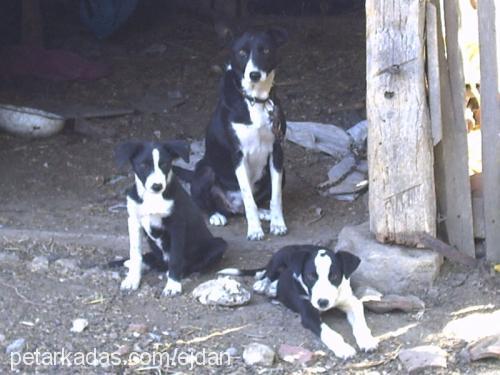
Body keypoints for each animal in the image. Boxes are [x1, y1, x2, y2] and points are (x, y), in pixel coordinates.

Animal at [115, 141, 227, 296]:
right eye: (143, 165)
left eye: (164, 164)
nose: (157, 186)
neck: (153, 198)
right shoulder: (133, 221)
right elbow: (135, 252)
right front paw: (132, 279)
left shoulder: (177, 226)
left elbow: (175, 257)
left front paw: (173, 285)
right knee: (152, 260)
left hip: (219, 245)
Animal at [188, 25, 290, 241]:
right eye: (242, 53)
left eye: (265, 50)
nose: (254, 75)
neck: (255, 99)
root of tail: (232, 207)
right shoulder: (238, 155)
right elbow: (247, 197)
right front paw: (255, 230)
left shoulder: (277, 151)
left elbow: (276, 197)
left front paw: (278, 224)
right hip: (204, 171)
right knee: (211, 205)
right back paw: (216, 215)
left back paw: (264, 212)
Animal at [219, 245, 378, 360]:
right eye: (310, 276)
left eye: (334, 276)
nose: (323, 302)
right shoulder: (309, 314)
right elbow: (328, 332)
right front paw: (343, 348)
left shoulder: (351, 302)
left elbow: (360, 324)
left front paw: (367, 340)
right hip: (279, 257)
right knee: (266, 273)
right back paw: (263, 285)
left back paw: (272, 287)